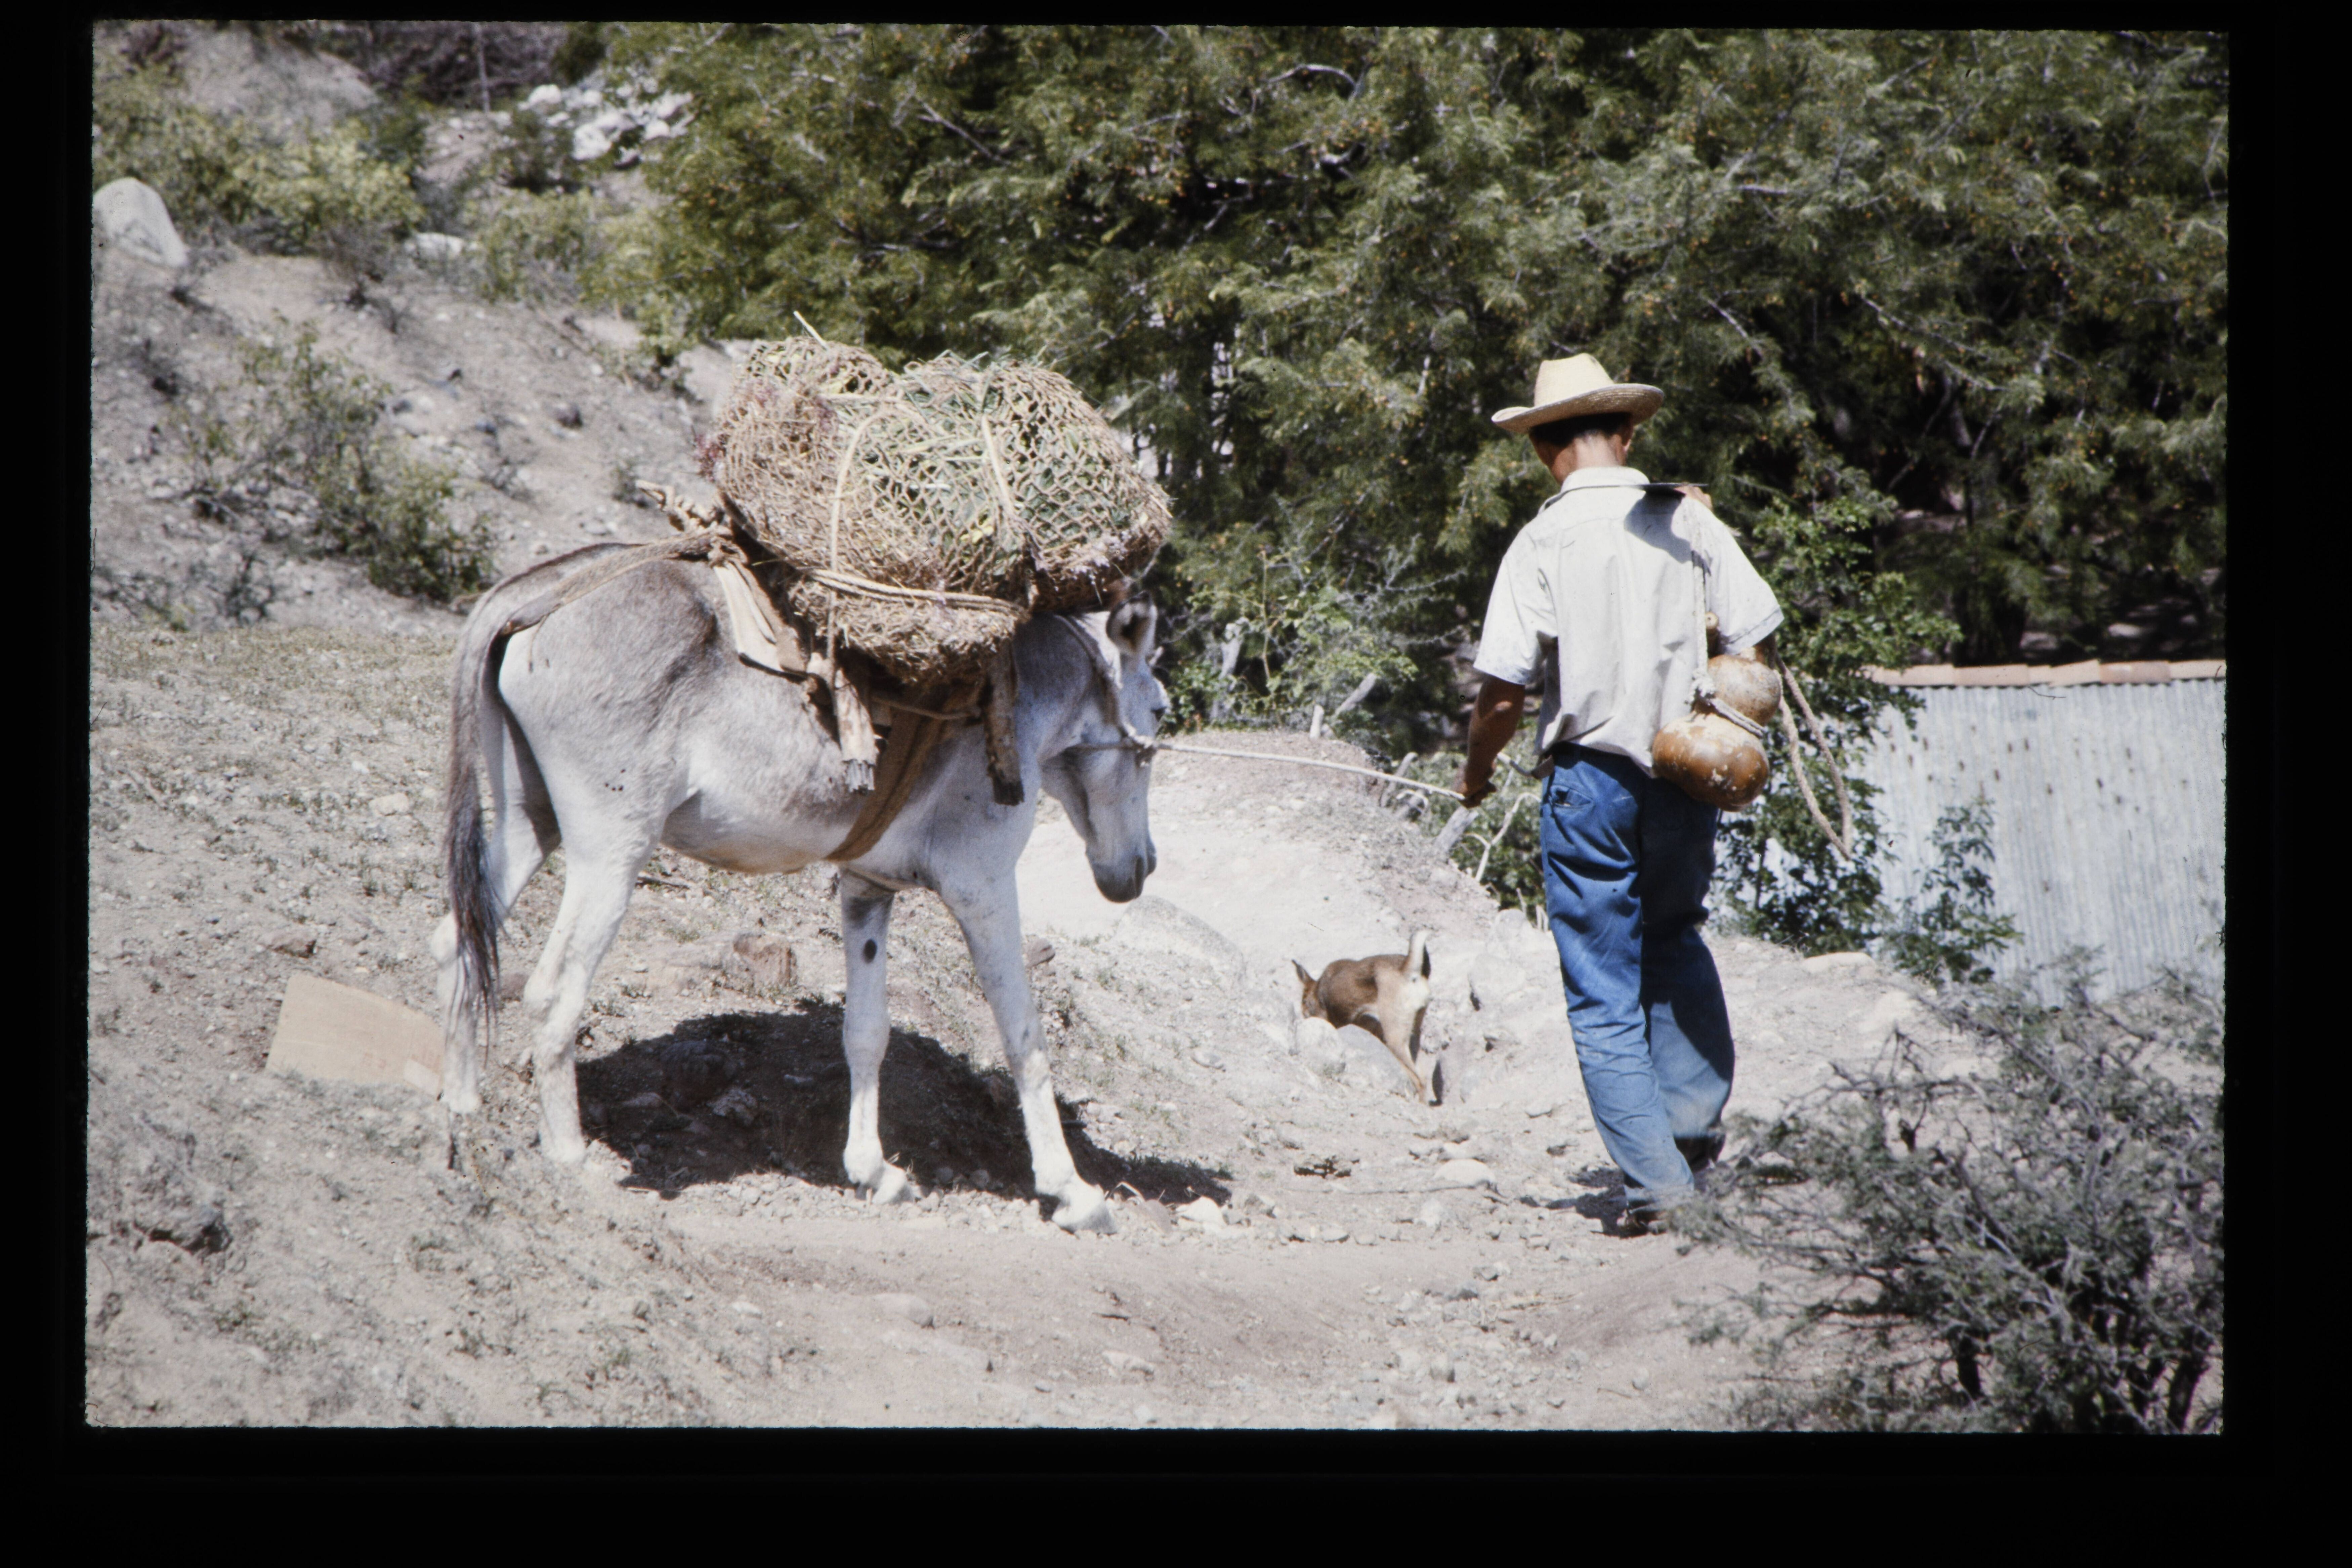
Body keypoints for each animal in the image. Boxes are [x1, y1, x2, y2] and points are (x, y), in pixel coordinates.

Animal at [428, 543, 1163, 1233]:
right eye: (1158, 711)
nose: (1143, 867)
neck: (1015, 700)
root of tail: (538, 592)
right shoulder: (984, 889)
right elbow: (1024, 1035)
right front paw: (1073, 1192)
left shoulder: (867, 886)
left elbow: (866, 1031)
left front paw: (873, 1171)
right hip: (609, 852)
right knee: (553, 990)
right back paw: (569, 1160)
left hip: (531, 820)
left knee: (459, 942)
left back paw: (461, 1113)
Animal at [1294, 932, 1435, 1103]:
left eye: (1304, 1002)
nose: (1303, 1014)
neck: (1318, 988)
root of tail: (1407, 968)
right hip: (1412, 1037)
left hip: (1394, 1039)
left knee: (1419, 1080)